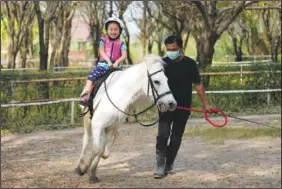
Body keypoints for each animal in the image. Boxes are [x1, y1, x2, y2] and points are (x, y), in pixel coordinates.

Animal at [75, 54, 176, 184]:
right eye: (156, 81)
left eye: (167, 80)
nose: (172, 103)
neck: (118, 95)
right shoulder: (97, 124)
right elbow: (96, 148)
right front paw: (83, 169)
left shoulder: (111, 128)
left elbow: (101, 150)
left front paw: (92, 174)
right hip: (88, 121)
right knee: (86, 141)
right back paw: (79, 165)